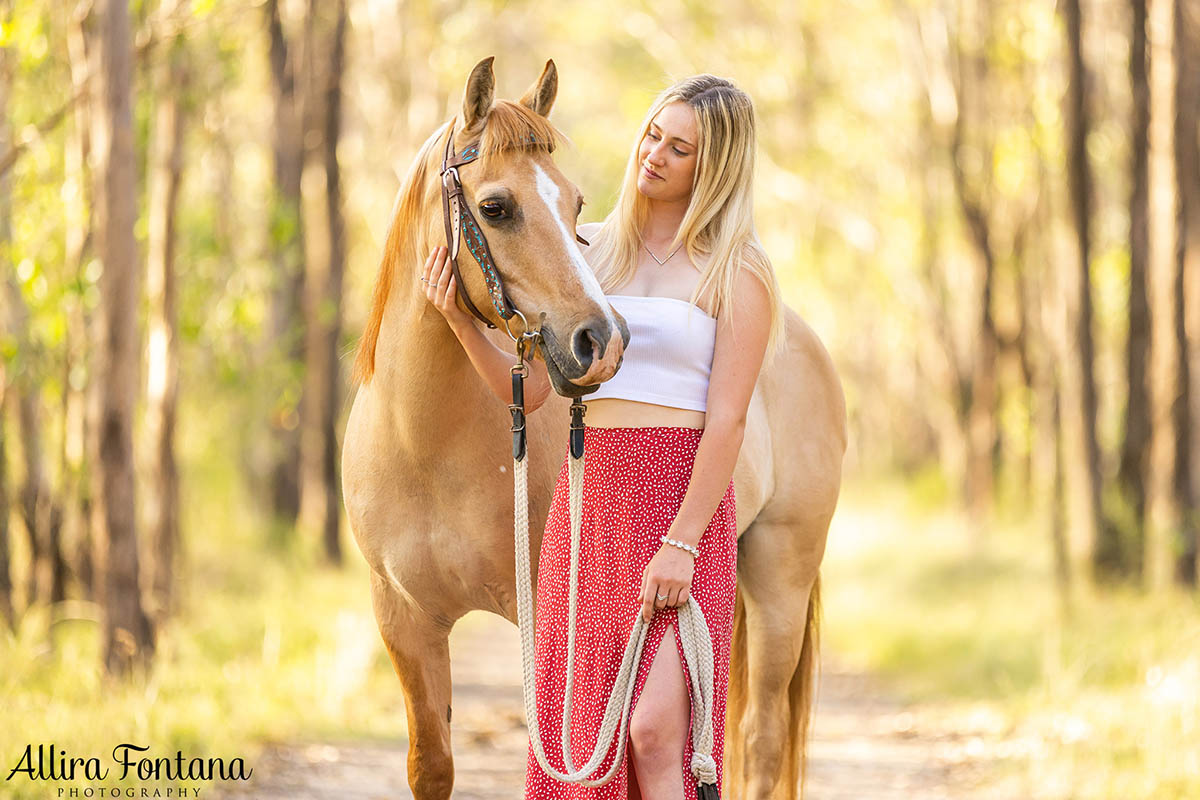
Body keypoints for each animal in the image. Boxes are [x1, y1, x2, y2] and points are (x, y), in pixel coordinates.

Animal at [343, 57, 849, 800]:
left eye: (577, 205)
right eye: (496, 207)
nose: (601, 342)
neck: (423, 447)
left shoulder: (544, 623)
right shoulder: (404, 621)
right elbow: (430, 765)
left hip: (779, 576)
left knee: (759, 740)